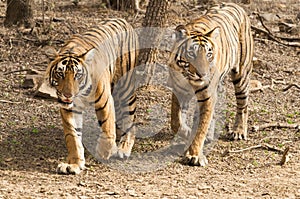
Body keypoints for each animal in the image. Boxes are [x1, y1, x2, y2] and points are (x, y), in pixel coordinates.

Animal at [44, 18, 138, 174]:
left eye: (77, 75)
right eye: (60, 74)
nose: (68, 94)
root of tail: (124, 20)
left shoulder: (105, 101)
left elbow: (107, 128)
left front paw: (103, 152)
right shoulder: (69, 109)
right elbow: (73, 137)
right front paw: (73, 164)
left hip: (126, 88)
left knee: (130, 119)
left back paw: (123, 149)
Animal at [169, 2, 253, 166]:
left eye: (208, 54)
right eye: (191, 54)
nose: (203, 74)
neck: (187, 78)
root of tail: (236, 5)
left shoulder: (207, 96)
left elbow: (201, 126)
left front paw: (194, 155)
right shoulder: (179, 91)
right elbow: (176, 121)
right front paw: (187, 133)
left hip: (241, 74)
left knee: (243, 104)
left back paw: (238, 131)